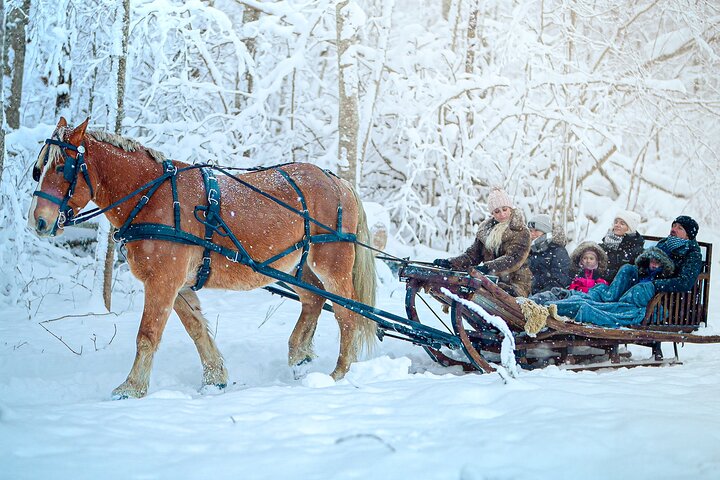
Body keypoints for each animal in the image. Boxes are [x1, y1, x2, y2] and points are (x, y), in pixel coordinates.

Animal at [28, 117, 377, 399]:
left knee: (348, 313)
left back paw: (340, 373)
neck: (150, 195)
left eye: (62, 168)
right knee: (314, 300)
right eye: (38, 170)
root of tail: (339, 182)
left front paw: (131, 388)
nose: (38, 222)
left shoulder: (163, 281)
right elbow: (197, 330)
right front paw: (214, 379)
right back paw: (299, 356)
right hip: (296, 267)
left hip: (331, 263)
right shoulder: (179, 285)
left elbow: (147, 336)